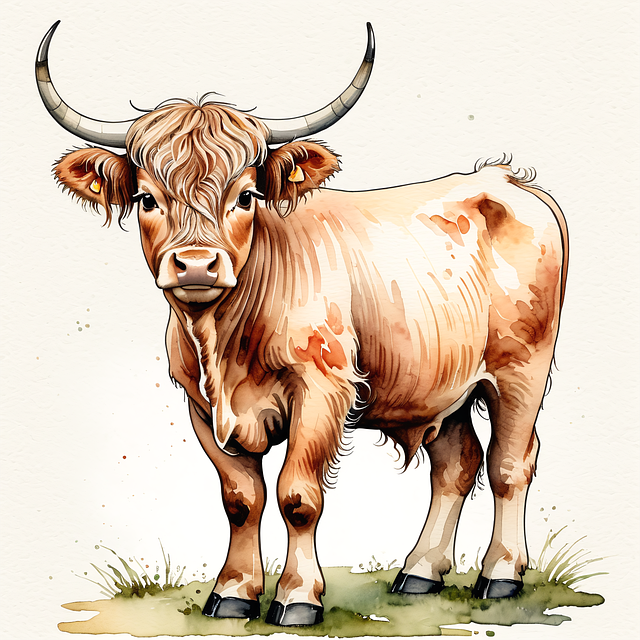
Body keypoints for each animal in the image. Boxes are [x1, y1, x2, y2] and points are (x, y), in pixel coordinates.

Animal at [36, 21, 568, 627]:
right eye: (147, 198)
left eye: (246, 195)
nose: (195, 264)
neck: (225, 344)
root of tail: (506, 179)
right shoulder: (200, 405)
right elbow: (241, 500)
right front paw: (233, 592)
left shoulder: (322, 391)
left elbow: (298, 497)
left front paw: (296, 598)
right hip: (441, 385)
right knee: (456, 464)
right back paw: (418, 573)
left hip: (522, 368)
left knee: (510, 462)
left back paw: (500, 575)